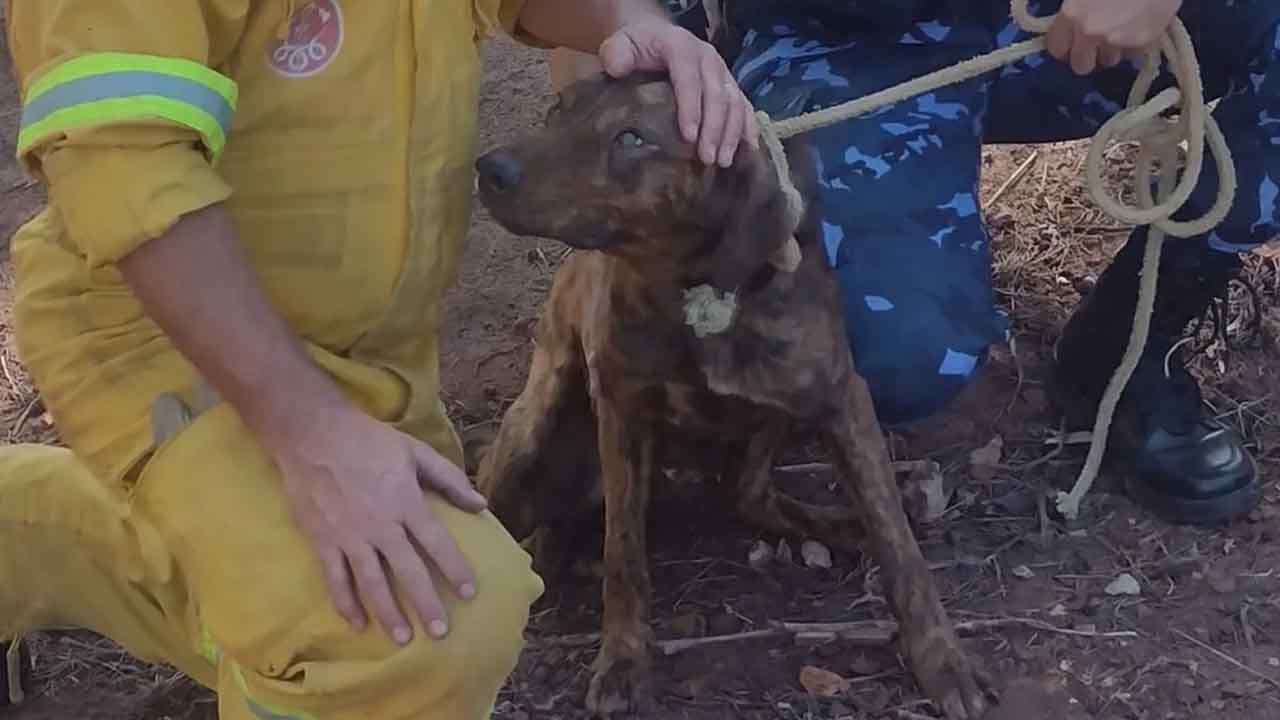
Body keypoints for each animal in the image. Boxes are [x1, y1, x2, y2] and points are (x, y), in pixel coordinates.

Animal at [476, 68, 993, 717]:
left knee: (746, 493)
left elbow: (899, 546)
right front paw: (623, 657)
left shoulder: (841, 398)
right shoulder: (620, 405)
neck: (696, 289)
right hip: (533, 432)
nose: (489, 168)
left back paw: (837, 523)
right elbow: (625, 551)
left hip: (774, 421)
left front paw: (942, 659)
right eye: (556, 111)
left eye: (631, 138)